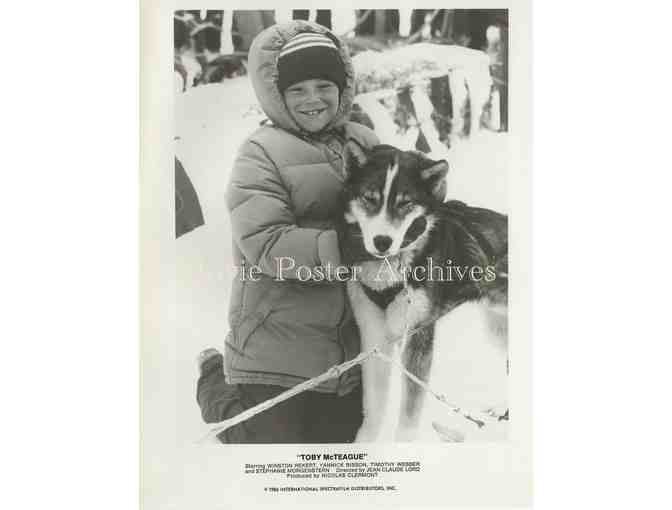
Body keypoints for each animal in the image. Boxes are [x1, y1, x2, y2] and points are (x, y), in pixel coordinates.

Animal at [344, 141, 506, 440]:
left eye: (405, 203)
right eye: (369, 198)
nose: (382, 241)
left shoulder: (418, 336)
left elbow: (409, 411)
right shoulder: (374, 335)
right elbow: (374, 406)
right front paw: (366, 444)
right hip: (498, 325)